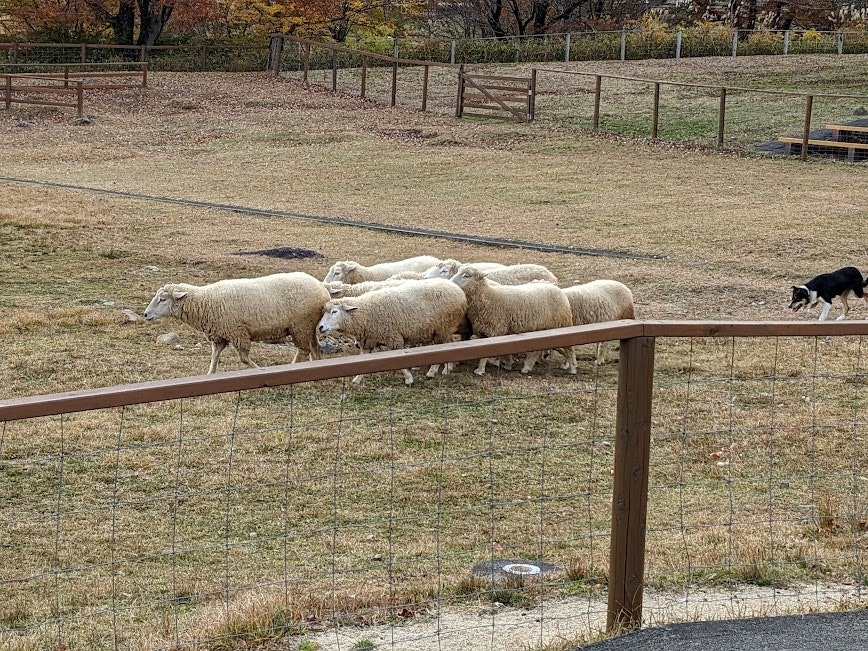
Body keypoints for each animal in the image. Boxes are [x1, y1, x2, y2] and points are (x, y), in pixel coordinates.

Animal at [144, 272, 330, 374]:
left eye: (162, 299)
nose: (145, 314)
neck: (205, 301)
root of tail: (322, 290)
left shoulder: (238, 332)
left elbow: (244, 359)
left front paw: (259, 369)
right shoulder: (219, 335)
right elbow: (215, 356)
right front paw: (210, 373)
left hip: (300, 325)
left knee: (303, 350)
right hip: (309, 326)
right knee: (315, 348)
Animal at [316, 279, 467, 385]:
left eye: (334, 311)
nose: (320, 327)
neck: (366, 312)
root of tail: (458, 290)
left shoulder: (394, 338)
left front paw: (409, 379)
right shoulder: (369, 341)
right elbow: (363, 362)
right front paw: (357, 379)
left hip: (443, 328)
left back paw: (434, 371)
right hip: (441, 329)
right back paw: (444, 369)